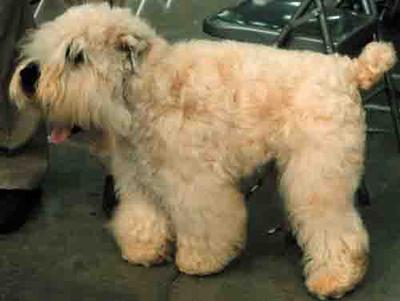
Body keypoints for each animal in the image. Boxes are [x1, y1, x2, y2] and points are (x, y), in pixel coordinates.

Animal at [9, 4, 396, 298]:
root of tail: (348, 68)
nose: (28, 76)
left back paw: (335, 278)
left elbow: (206, 222)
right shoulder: (137, 175)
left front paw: (200, 261)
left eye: (76, 55)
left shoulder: (194, 181)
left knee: (337, 228)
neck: (146, 91)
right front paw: (144, 248)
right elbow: (143, 214)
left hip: (317, 176)